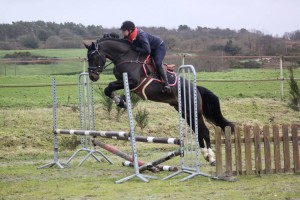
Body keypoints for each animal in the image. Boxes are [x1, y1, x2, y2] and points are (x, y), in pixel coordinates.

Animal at [84, 37, 234, 166]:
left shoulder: (132, 81)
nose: (92, 76)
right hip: (184, 111)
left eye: (93, 57)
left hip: (193, 110)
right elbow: (109, 89)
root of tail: (196, 88)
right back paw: (206, 155)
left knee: (205, 131)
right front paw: (121, 101)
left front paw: (120, 102)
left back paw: (212, 158)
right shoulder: (127, 83)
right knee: (198, 131)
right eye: (88, 58)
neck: (126, 57)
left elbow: (109, 87)